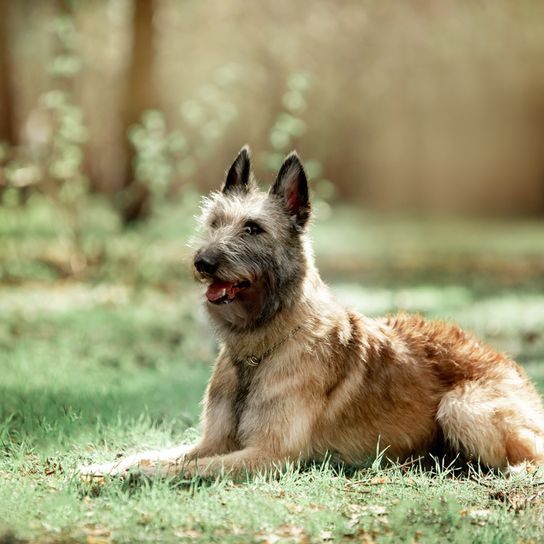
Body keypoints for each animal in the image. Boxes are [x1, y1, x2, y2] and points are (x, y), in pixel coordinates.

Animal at [79, 146, 544, 480]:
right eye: (214, 223)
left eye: (253, 229)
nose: (202, 262)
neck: (260, 346)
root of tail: (510, 364)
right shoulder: (213, 442)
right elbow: (151, 455)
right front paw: (107, 466)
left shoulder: (268, 455)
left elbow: (181, 469)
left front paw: (134, 477)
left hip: (460, 408)